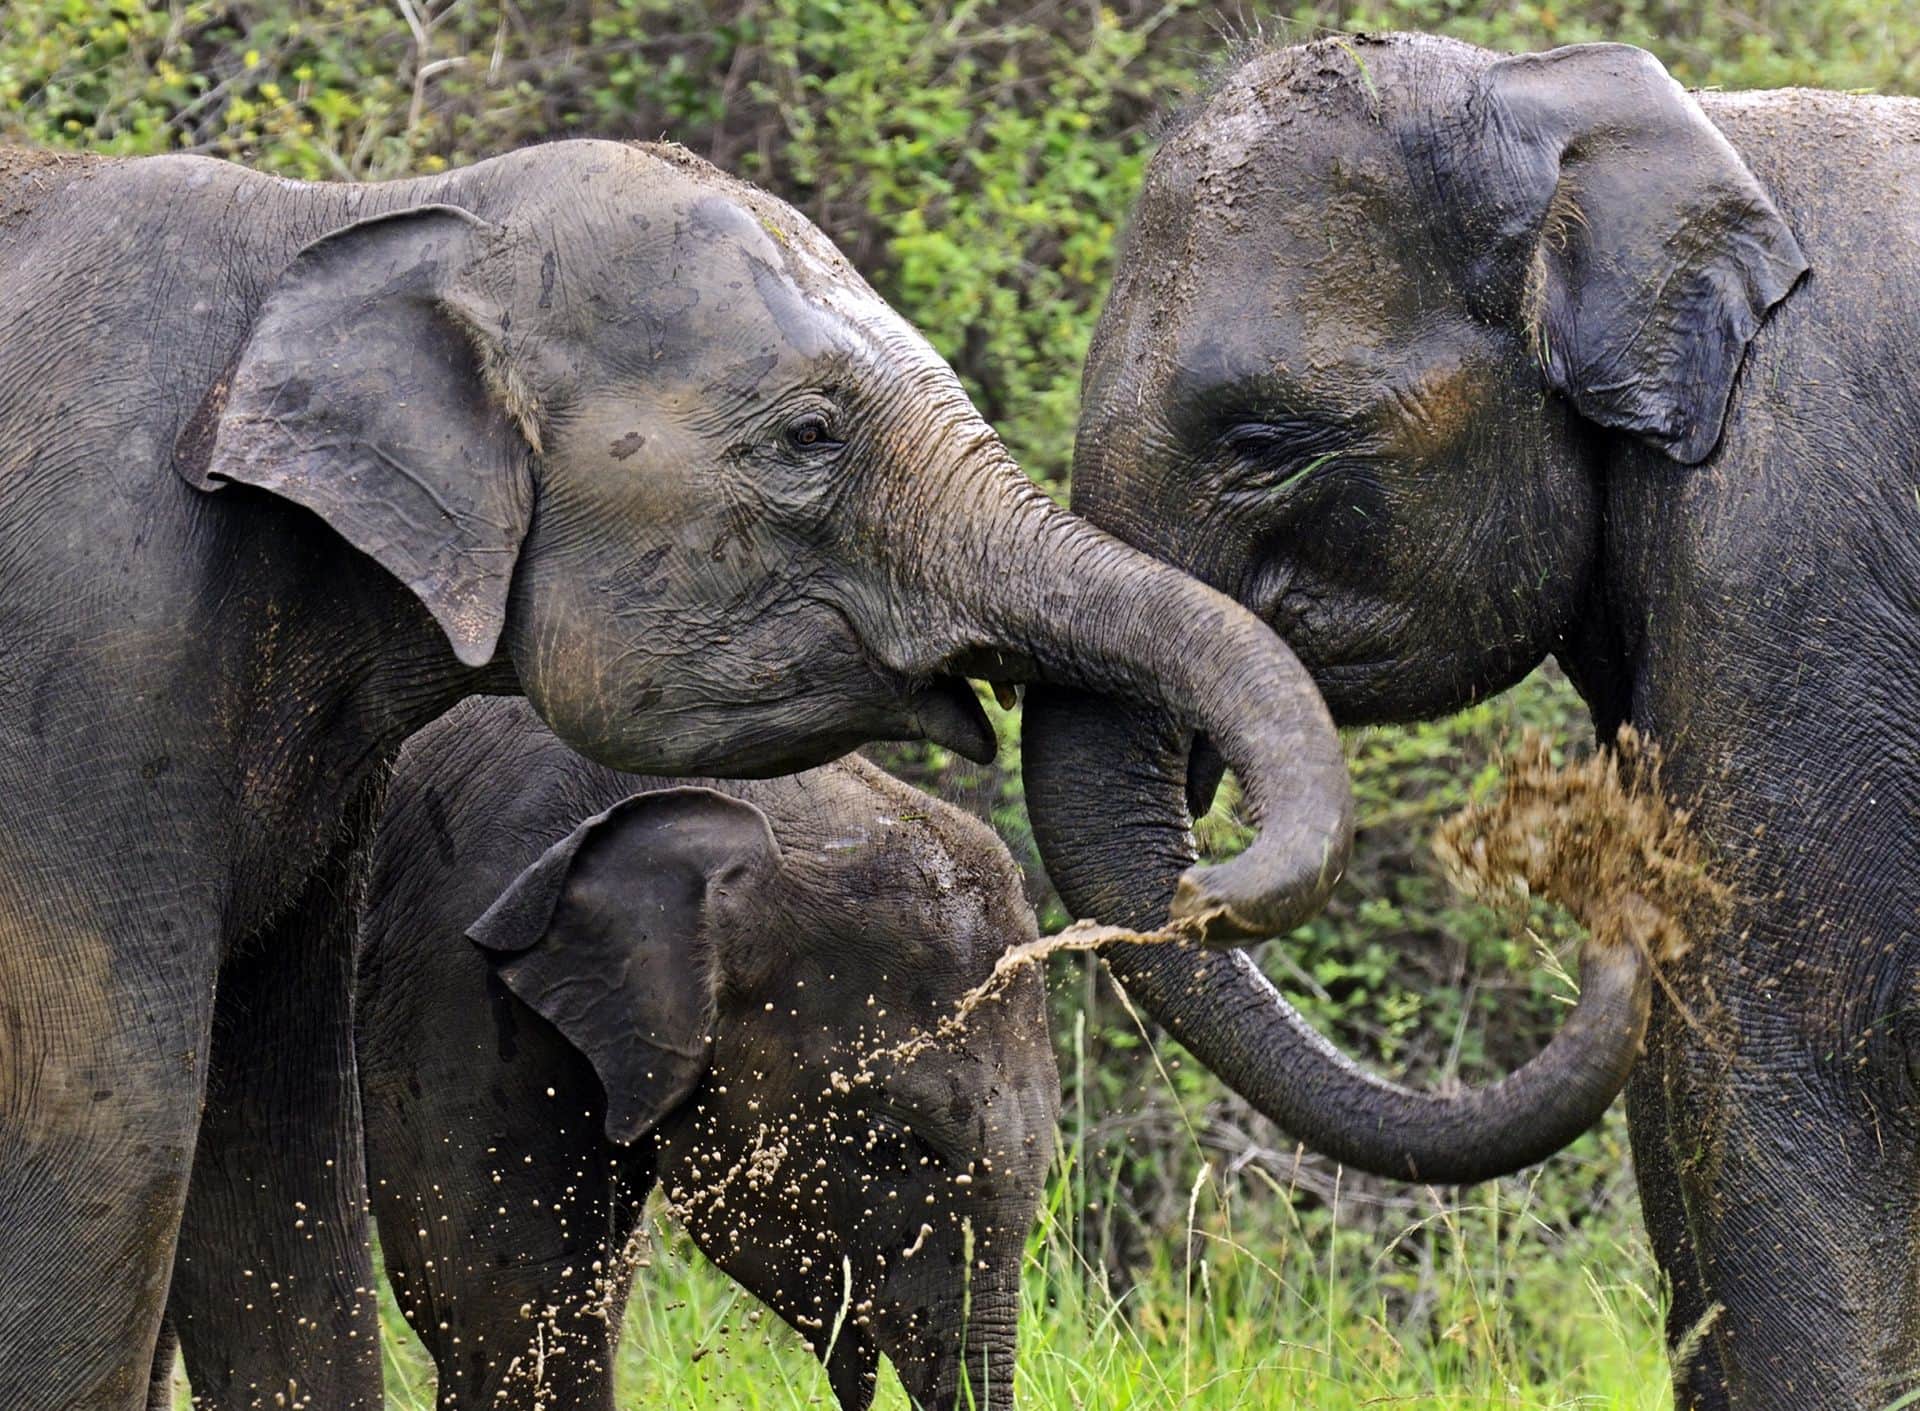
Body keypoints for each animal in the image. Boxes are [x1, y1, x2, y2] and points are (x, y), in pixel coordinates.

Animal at [0, 138, 1350, 1409]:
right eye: (809, 436)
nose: (1205, 883)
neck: (347, 220)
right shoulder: (107, 652)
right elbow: (129, 1136)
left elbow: (277, 1138)